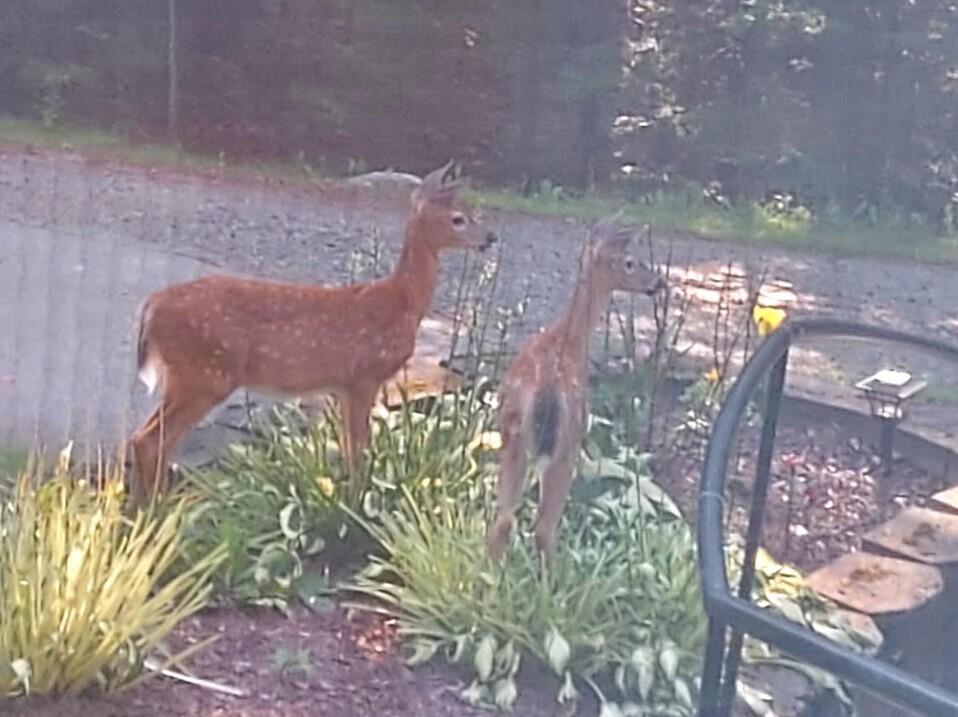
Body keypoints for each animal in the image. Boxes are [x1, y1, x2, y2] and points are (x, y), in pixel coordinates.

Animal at [130, 161, 496, 505]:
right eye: (459, 219)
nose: (490, 238)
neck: (401, 303)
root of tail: (153, 304)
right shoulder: (364, 377)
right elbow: (358, 451)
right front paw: (354, 508)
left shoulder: (344, 388)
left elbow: (349, 449)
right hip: (206, 375)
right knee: (150, 440)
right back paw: (154, 511)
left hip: (191, 378)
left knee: (151, 439)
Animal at [486, 217, 665, 560]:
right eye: (629, 262)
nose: (659, 282)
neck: (570, 337)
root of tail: (546, 389)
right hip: (565, 447)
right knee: (543, 526)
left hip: (513, 436)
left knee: (503, 519)